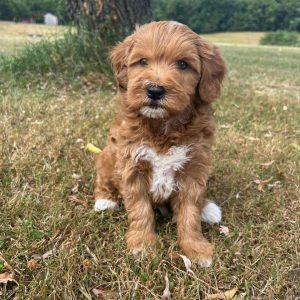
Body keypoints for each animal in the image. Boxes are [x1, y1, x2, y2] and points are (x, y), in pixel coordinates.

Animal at [94, 21, 225, 266]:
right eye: (142, 61)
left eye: (183, 64)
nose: (154, 90)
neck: (163, 125)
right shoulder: (131, 165)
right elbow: (140, 210)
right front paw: (143, 244)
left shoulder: (194, 169)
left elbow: (190, 212)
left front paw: (196, 248)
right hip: (107, 156)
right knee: (102, 179)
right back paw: (104, 200)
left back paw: (208, 208)